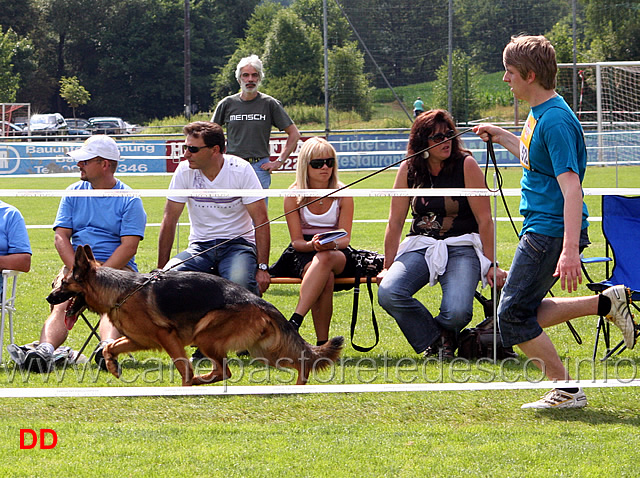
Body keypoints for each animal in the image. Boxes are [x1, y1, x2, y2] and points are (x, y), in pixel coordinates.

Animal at [46, 245, 344, 386]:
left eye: (63, 285)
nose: (48, 299)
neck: (121, 292)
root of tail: (260, 301)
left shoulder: (167, 337)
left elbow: (183, 368)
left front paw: (186, 385)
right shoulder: (139, 340)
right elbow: (110, 347)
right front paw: (112, 366)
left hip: (206, 338)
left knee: (224, 371)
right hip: (263, 351)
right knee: (300, 361)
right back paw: (300, 384)